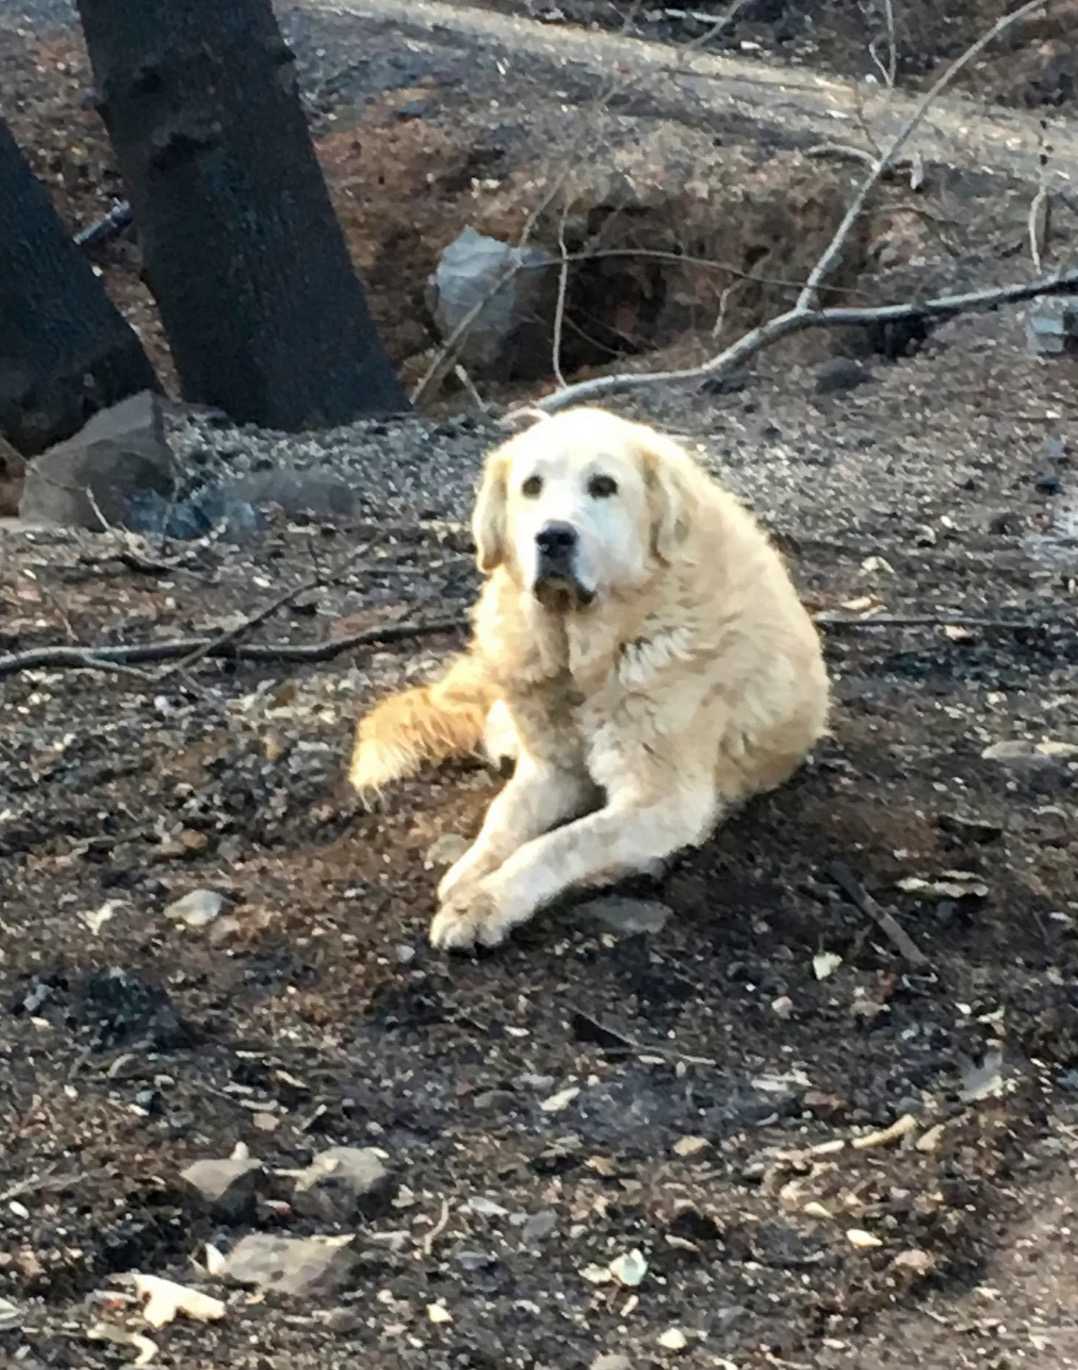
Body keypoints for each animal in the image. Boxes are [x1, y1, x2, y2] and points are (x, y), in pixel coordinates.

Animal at [349, 405, 832, 953]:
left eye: (603, 486)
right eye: (531, 486)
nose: (553, 536)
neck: (583, 652)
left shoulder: (662, 800)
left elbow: (557, 844)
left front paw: (484, 903)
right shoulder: (551, 770)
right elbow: (503, 818)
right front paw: (470, 873)